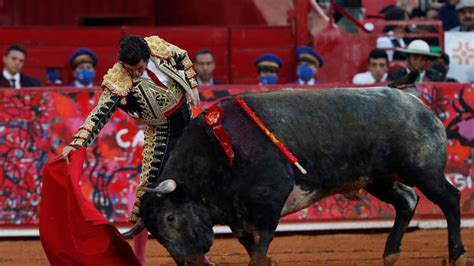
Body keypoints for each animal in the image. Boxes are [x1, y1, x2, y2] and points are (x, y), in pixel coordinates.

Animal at [130, 87, 466, 264]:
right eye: (154, 233)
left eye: (170, 218)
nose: (188, 262)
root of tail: (415, 100)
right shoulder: (236, 214)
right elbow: (248, 241)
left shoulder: (269, 199)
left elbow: (260, 243)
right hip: (378, 178)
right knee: (407, 201)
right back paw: (390, 252)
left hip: (423, 170)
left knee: (450, 199)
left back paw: (457, 254)